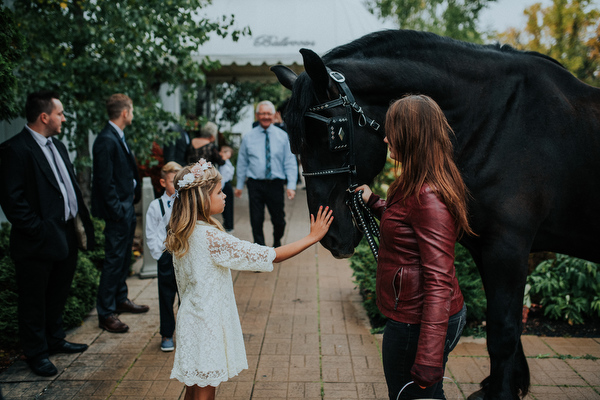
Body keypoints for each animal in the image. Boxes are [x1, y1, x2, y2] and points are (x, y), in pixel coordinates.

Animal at [274, 30, 600, 400]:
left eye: (336, 135)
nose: (331, 235)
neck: (500, 121)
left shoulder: (508, 249)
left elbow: (503, 332)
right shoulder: (486, 249)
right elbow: (506, 329)